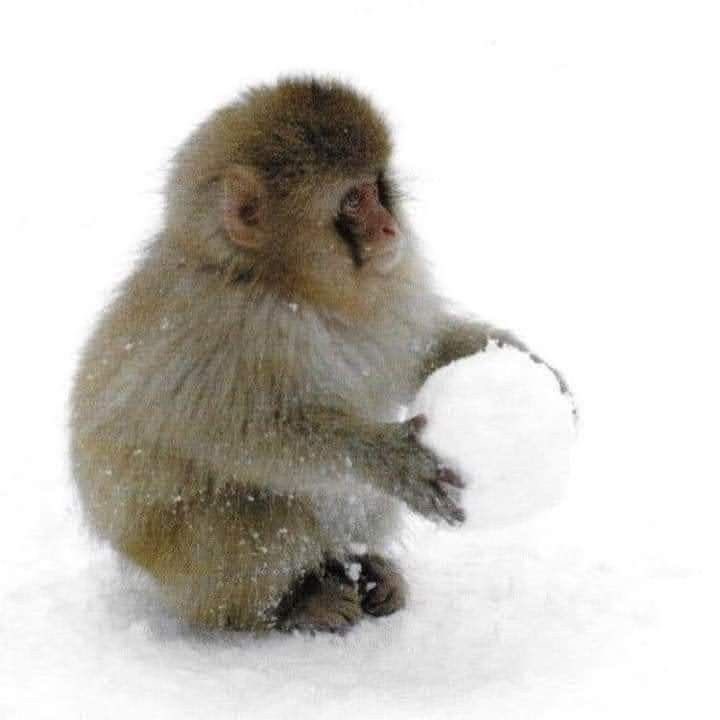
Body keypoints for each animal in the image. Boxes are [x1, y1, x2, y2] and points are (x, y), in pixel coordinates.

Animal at [70, 78, 569, 633]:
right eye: (351, 201)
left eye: (376, 189)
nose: (390, 229)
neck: (290, 287)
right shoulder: (229, 328)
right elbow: (252, 434)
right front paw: (393, 459)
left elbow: (416, 350)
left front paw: (529, 365)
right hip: (183, 564)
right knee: (253, 515)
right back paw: (294, 600)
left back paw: (362, 565)